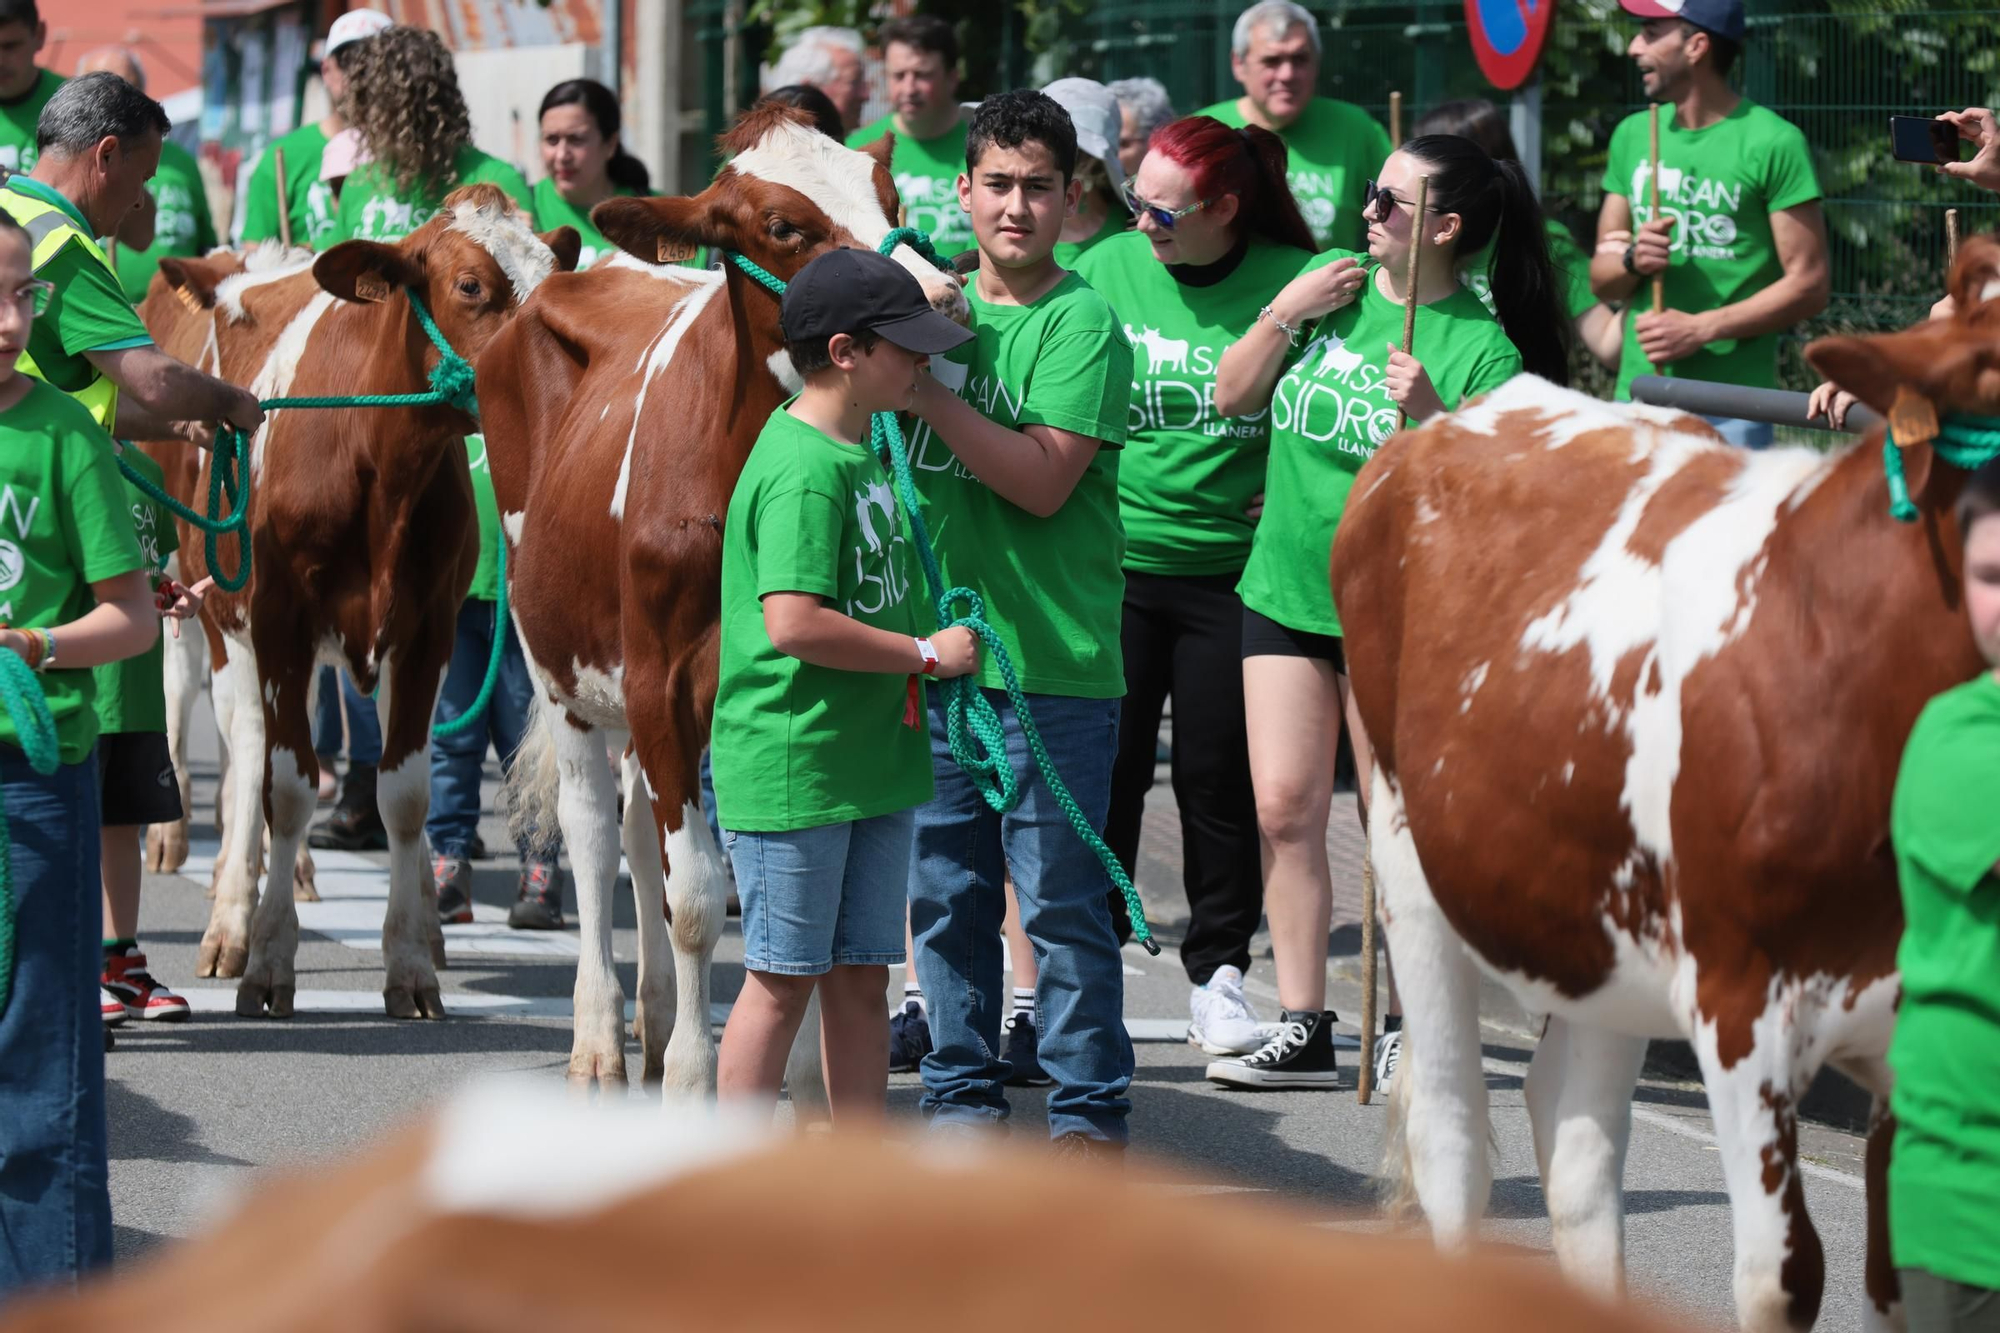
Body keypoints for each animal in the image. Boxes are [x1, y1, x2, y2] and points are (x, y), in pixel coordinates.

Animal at [155, 187, 580, 1012]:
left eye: (554, 279)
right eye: (471, 285)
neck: (379, 464)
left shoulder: (428, 634)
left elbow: (406, 795)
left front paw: (410, 959)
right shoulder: (278, 626)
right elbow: (285, 789)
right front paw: (268, 959)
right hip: (221, 618)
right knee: (237, 738)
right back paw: (227, 910)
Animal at [476, 106, 960, 1088]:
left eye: (891, 197)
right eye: (782, 225)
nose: (941, 297)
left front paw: (806, 1086)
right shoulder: (660, 681)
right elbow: (697, 894)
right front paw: (701, 1080)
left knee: (633, 832)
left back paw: (657, 1016)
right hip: (558, 666)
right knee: (593, 834)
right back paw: (600, 1035)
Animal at [1336, 241, 2000, 1328]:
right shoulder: (1740, 996)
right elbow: (1779, 1276)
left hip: (1592, 917)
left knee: (1571, 1147)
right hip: (1408, 860)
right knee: (1450, 1136)